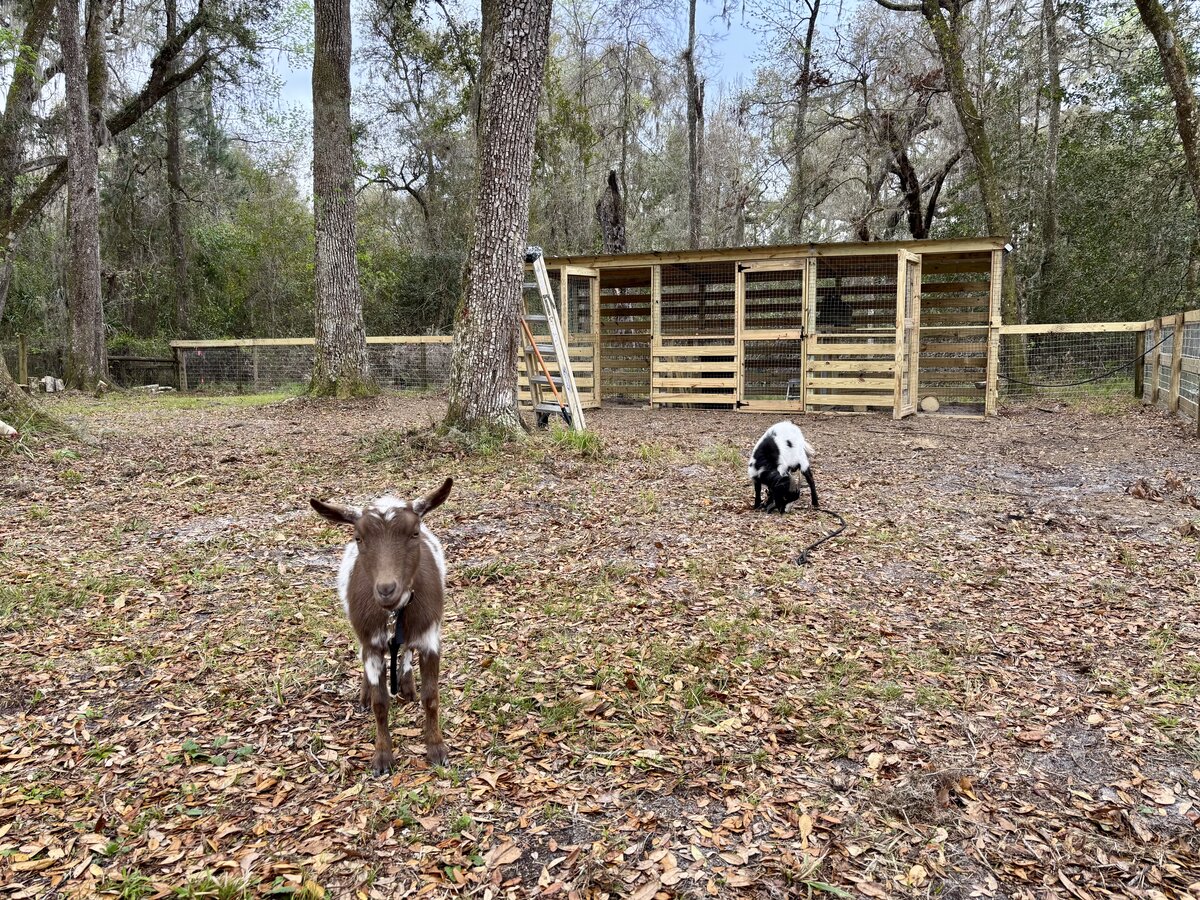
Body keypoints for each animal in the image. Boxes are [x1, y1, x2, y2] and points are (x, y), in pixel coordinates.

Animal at [310, 478, 452, 774]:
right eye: (359, 538)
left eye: (414, 533)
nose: (387, 589)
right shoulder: (372, 641)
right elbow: (380, 704)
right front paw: (383, 756)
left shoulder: (430, 636)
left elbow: (431, 697)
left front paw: (436, 748)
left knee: (407, 651)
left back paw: (407, 685)